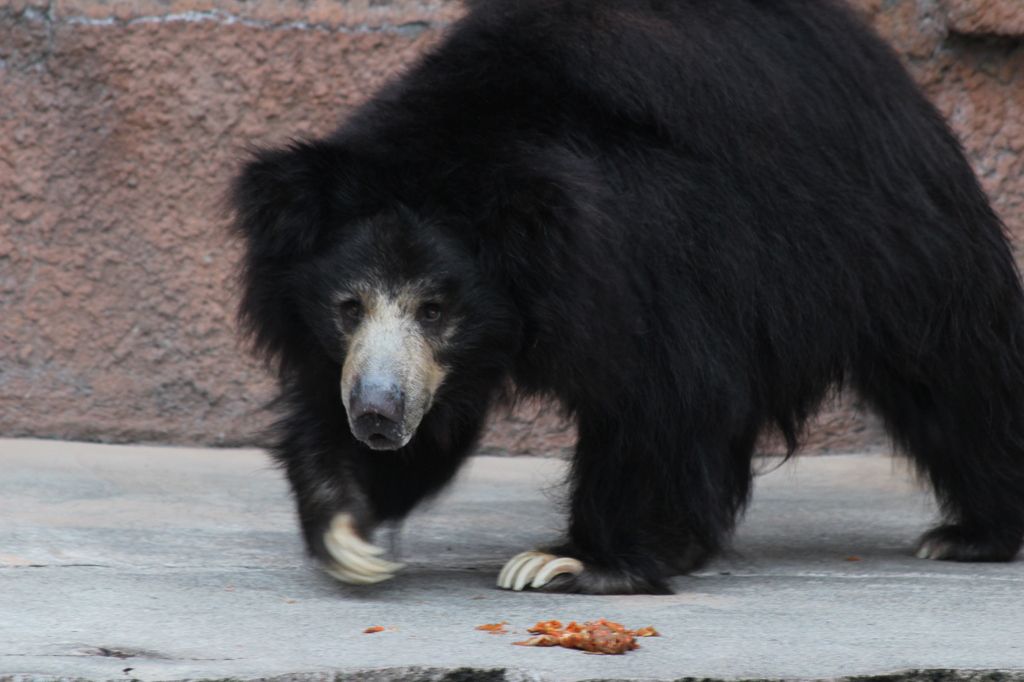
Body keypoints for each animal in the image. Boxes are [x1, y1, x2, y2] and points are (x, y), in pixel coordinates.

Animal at [232, 0, 1024, 589]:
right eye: (348, 308)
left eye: (436, 309)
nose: (376, 416)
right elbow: (427, 425)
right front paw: (345, 520)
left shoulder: (654, 241)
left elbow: (665, 391)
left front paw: (571, 563)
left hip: (888, 229)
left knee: (954, 367)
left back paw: (971, 535)